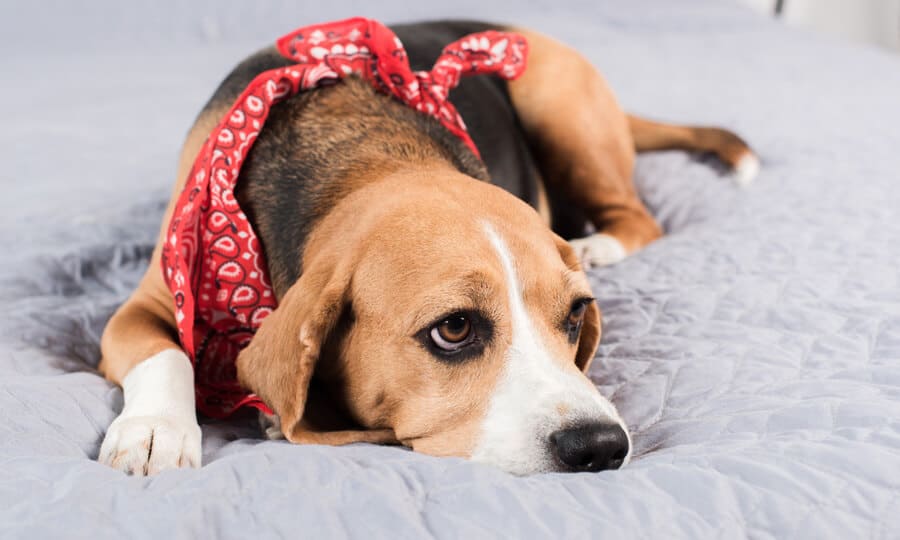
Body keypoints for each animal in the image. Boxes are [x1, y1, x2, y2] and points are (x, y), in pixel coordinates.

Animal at [96, 20, 760, 476]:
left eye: (575, 316)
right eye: (455, 329)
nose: (602, 447)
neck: (368, 159)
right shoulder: (142, 306)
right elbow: (167, 355)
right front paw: (155, 430)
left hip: (556, 99)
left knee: (640, 215)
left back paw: (600, 244)